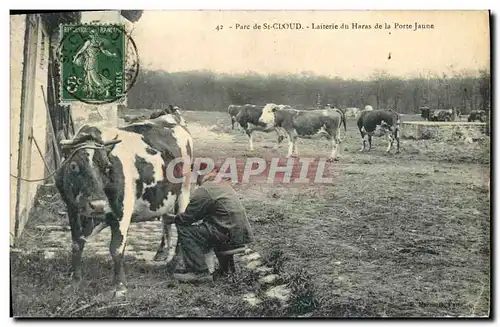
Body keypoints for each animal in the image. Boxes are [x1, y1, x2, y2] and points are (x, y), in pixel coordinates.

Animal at [56, 106, 193, 298]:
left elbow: (116, 248)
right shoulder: (72, 209)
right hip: (167, 195)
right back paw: (162, 253)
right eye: (74, 166)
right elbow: (76, 243)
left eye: (107, 166)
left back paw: (177, 262)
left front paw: (119, 286)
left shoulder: (122, 211)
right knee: (167, 221)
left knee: (182, 223)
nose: (98, 205)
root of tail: (171, 116)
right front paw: (75, 280)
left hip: (184, 190)